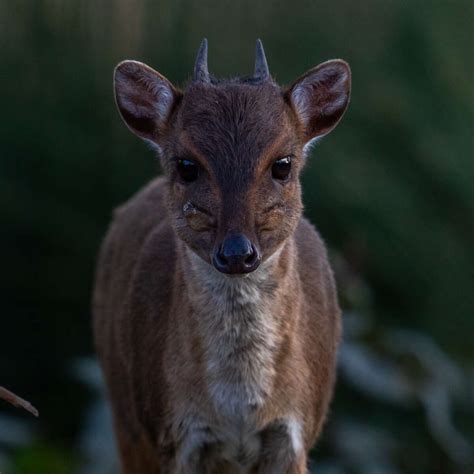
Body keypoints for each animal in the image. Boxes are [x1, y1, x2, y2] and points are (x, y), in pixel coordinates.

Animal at [93, 39, 352, 472]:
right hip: (124, 413)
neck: (238, 409)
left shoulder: (296, 430)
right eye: (186, 165)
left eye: (282, 164)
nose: (236, 252)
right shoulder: (171, 433)